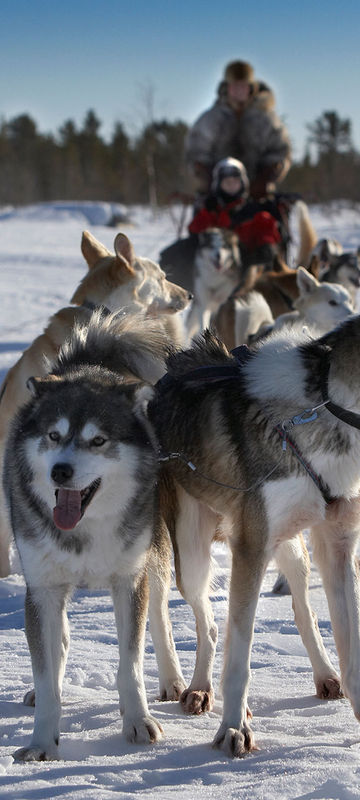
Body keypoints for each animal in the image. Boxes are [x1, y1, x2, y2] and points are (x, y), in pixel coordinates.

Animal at [4, 310, 186, 760]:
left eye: (98, 440)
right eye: (54, 436)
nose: (60, 471)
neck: (84, 530)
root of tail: (90, 364)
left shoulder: (129, 580)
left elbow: (130, 662)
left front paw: (137, 721)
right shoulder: (43, 588)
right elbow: (48, 668)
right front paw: (42, 741)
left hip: (156, 556)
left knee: (160, 618)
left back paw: (173, 681)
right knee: (61, 640)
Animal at [148, 318, 360, 756]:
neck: (321, 407)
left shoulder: (338, 545)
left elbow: (353, 647)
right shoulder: (250, 546)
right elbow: (239, 659)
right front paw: (233, 727)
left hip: (290, 549)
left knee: (302, 611)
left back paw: (324, 674)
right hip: (193, 555)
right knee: (213, 627)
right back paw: (201, 688)